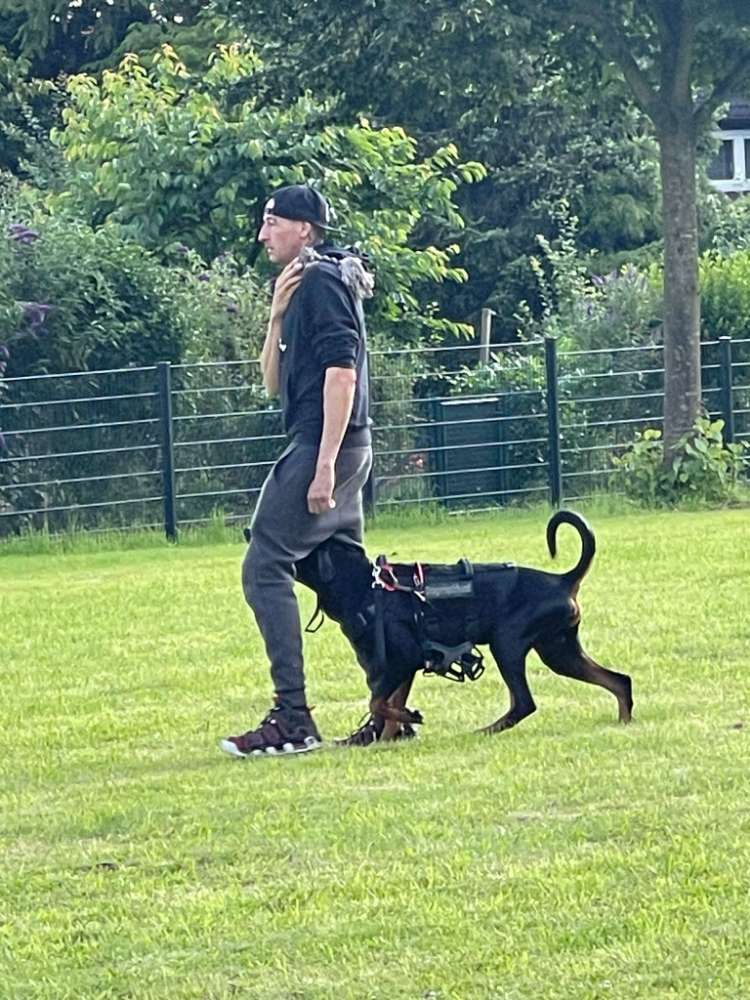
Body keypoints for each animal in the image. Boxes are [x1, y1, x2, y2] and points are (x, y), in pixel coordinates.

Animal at [293, 510, 633, 741]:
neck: (365, 586)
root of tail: (563, 580)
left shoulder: (402, 661)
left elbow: (378, 701)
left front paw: (410, 716)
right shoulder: (400, 667)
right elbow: (387, 708)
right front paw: (389, 738)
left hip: (507, 643)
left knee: (524, 703)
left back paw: (484, 731)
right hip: (560, 652)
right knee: (620, 681)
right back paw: (624, 722)